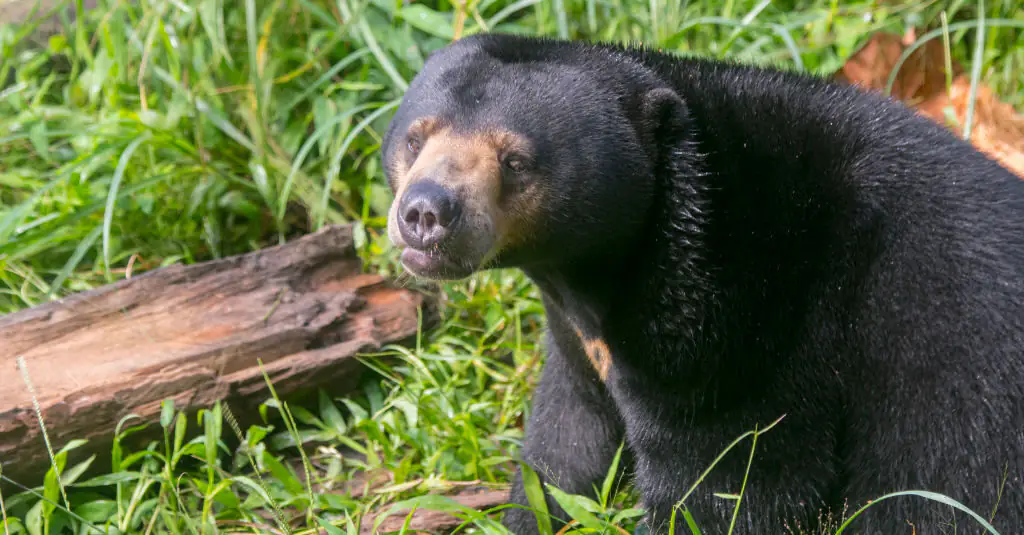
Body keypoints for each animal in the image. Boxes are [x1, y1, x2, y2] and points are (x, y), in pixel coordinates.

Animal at [379, 33, 1024, 535]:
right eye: (415, 137)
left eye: (515, 161)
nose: (426, 212)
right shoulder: (581, 342)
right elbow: (566, 443)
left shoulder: (754, 335)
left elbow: (728, 481)